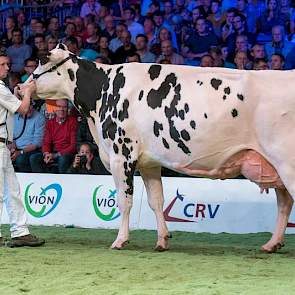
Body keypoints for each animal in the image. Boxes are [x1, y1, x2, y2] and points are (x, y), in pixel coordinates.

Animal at [29, 45, 295, 253]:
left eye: (40, 64)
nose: (23, 86)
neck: (102, 92)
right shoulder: (149, 162)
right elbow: (156, 201)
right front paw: (162, 240)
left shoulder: (121, 156)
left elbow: (124, 201)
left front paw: (120, 240)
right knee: (284, 203)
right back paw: (271, 244)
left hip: (286, 162)